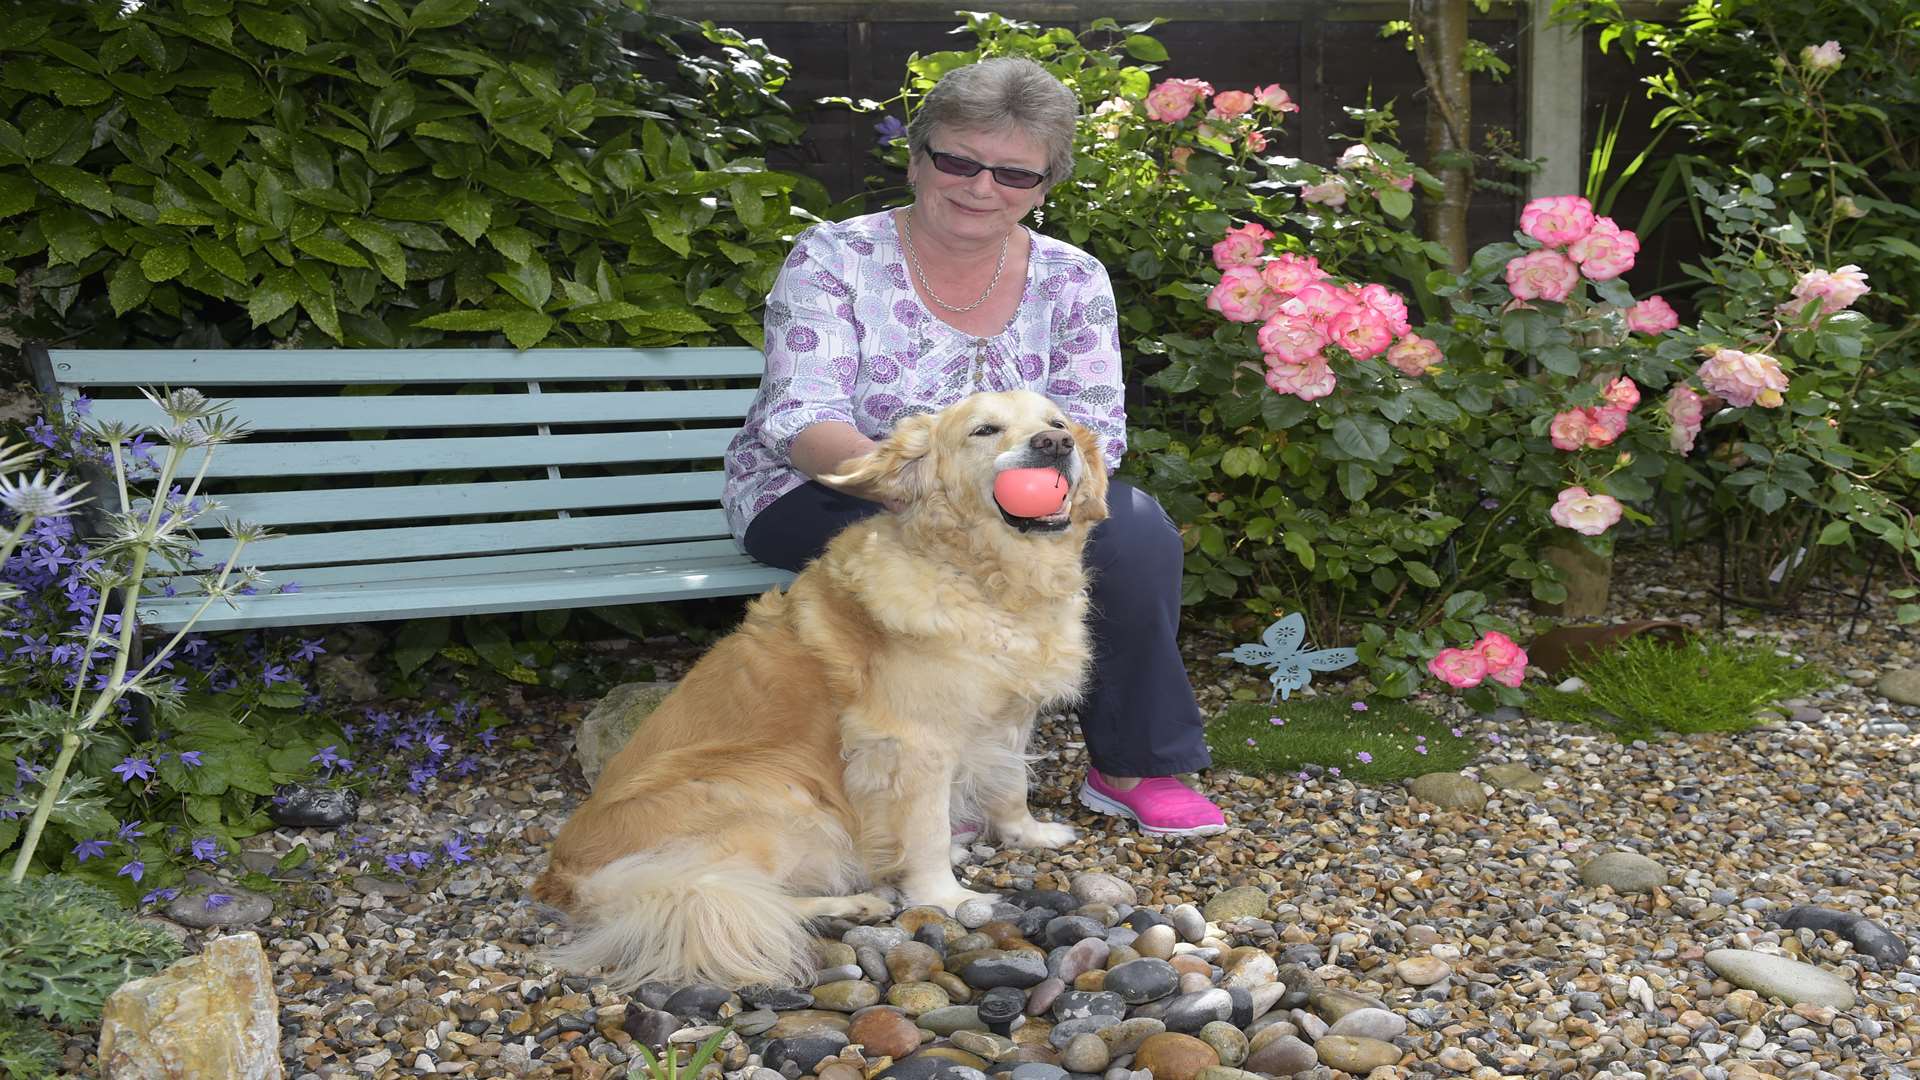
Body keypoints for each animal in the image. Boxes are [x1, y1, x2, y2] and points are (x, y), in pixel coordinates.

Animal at [537, 388, 1113, 983]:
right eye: (984, 430)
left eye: (1057, 421)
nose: (1055, 444)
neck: (988, 579)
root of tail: (564, 877)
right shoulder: (914, 743)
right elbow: (927, 830)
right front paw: (945, 897)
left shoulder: (1006, 718)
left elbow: (1009, 786)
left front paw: (1028, 833)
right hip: (770, 792)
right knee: (735, 895)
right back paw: (854, 903)